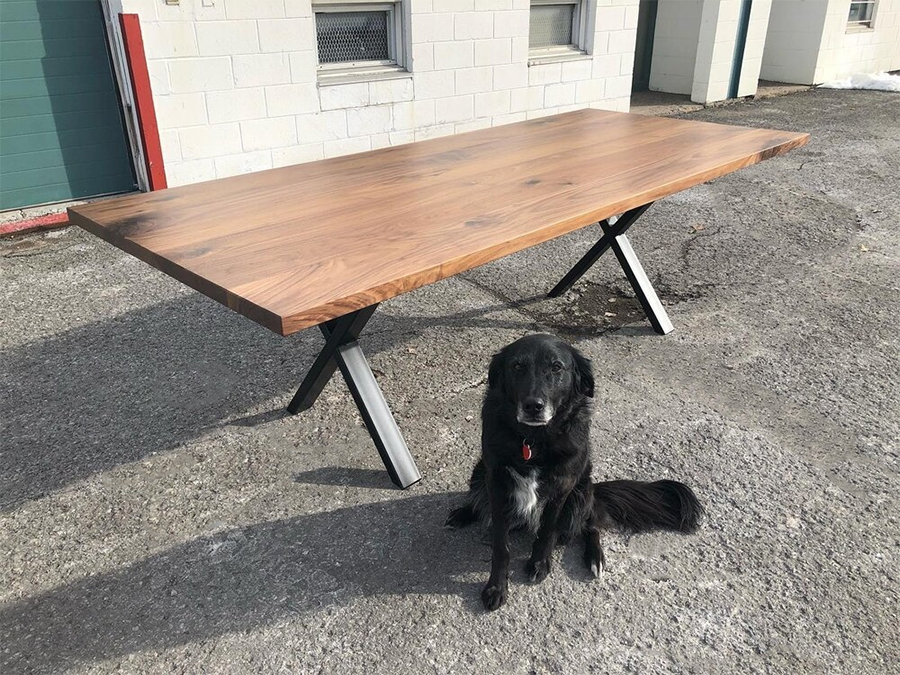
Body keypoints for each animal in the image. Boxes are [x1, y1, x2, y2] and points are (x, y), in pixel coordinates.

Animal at [446, 336, 708, 608]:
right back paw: (463, 514)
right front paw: (496, 587)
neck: (533, 440)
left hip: (581, 492)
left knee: (590, 524)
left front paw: (540, 563)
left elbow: (547, 530)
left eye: (556, 367)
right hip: (479, 471)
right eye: (517, 366)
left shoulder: (563, 486)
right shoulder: (497, 482)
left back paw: (594, 558)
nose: (533, 406)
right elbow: (501, 545)